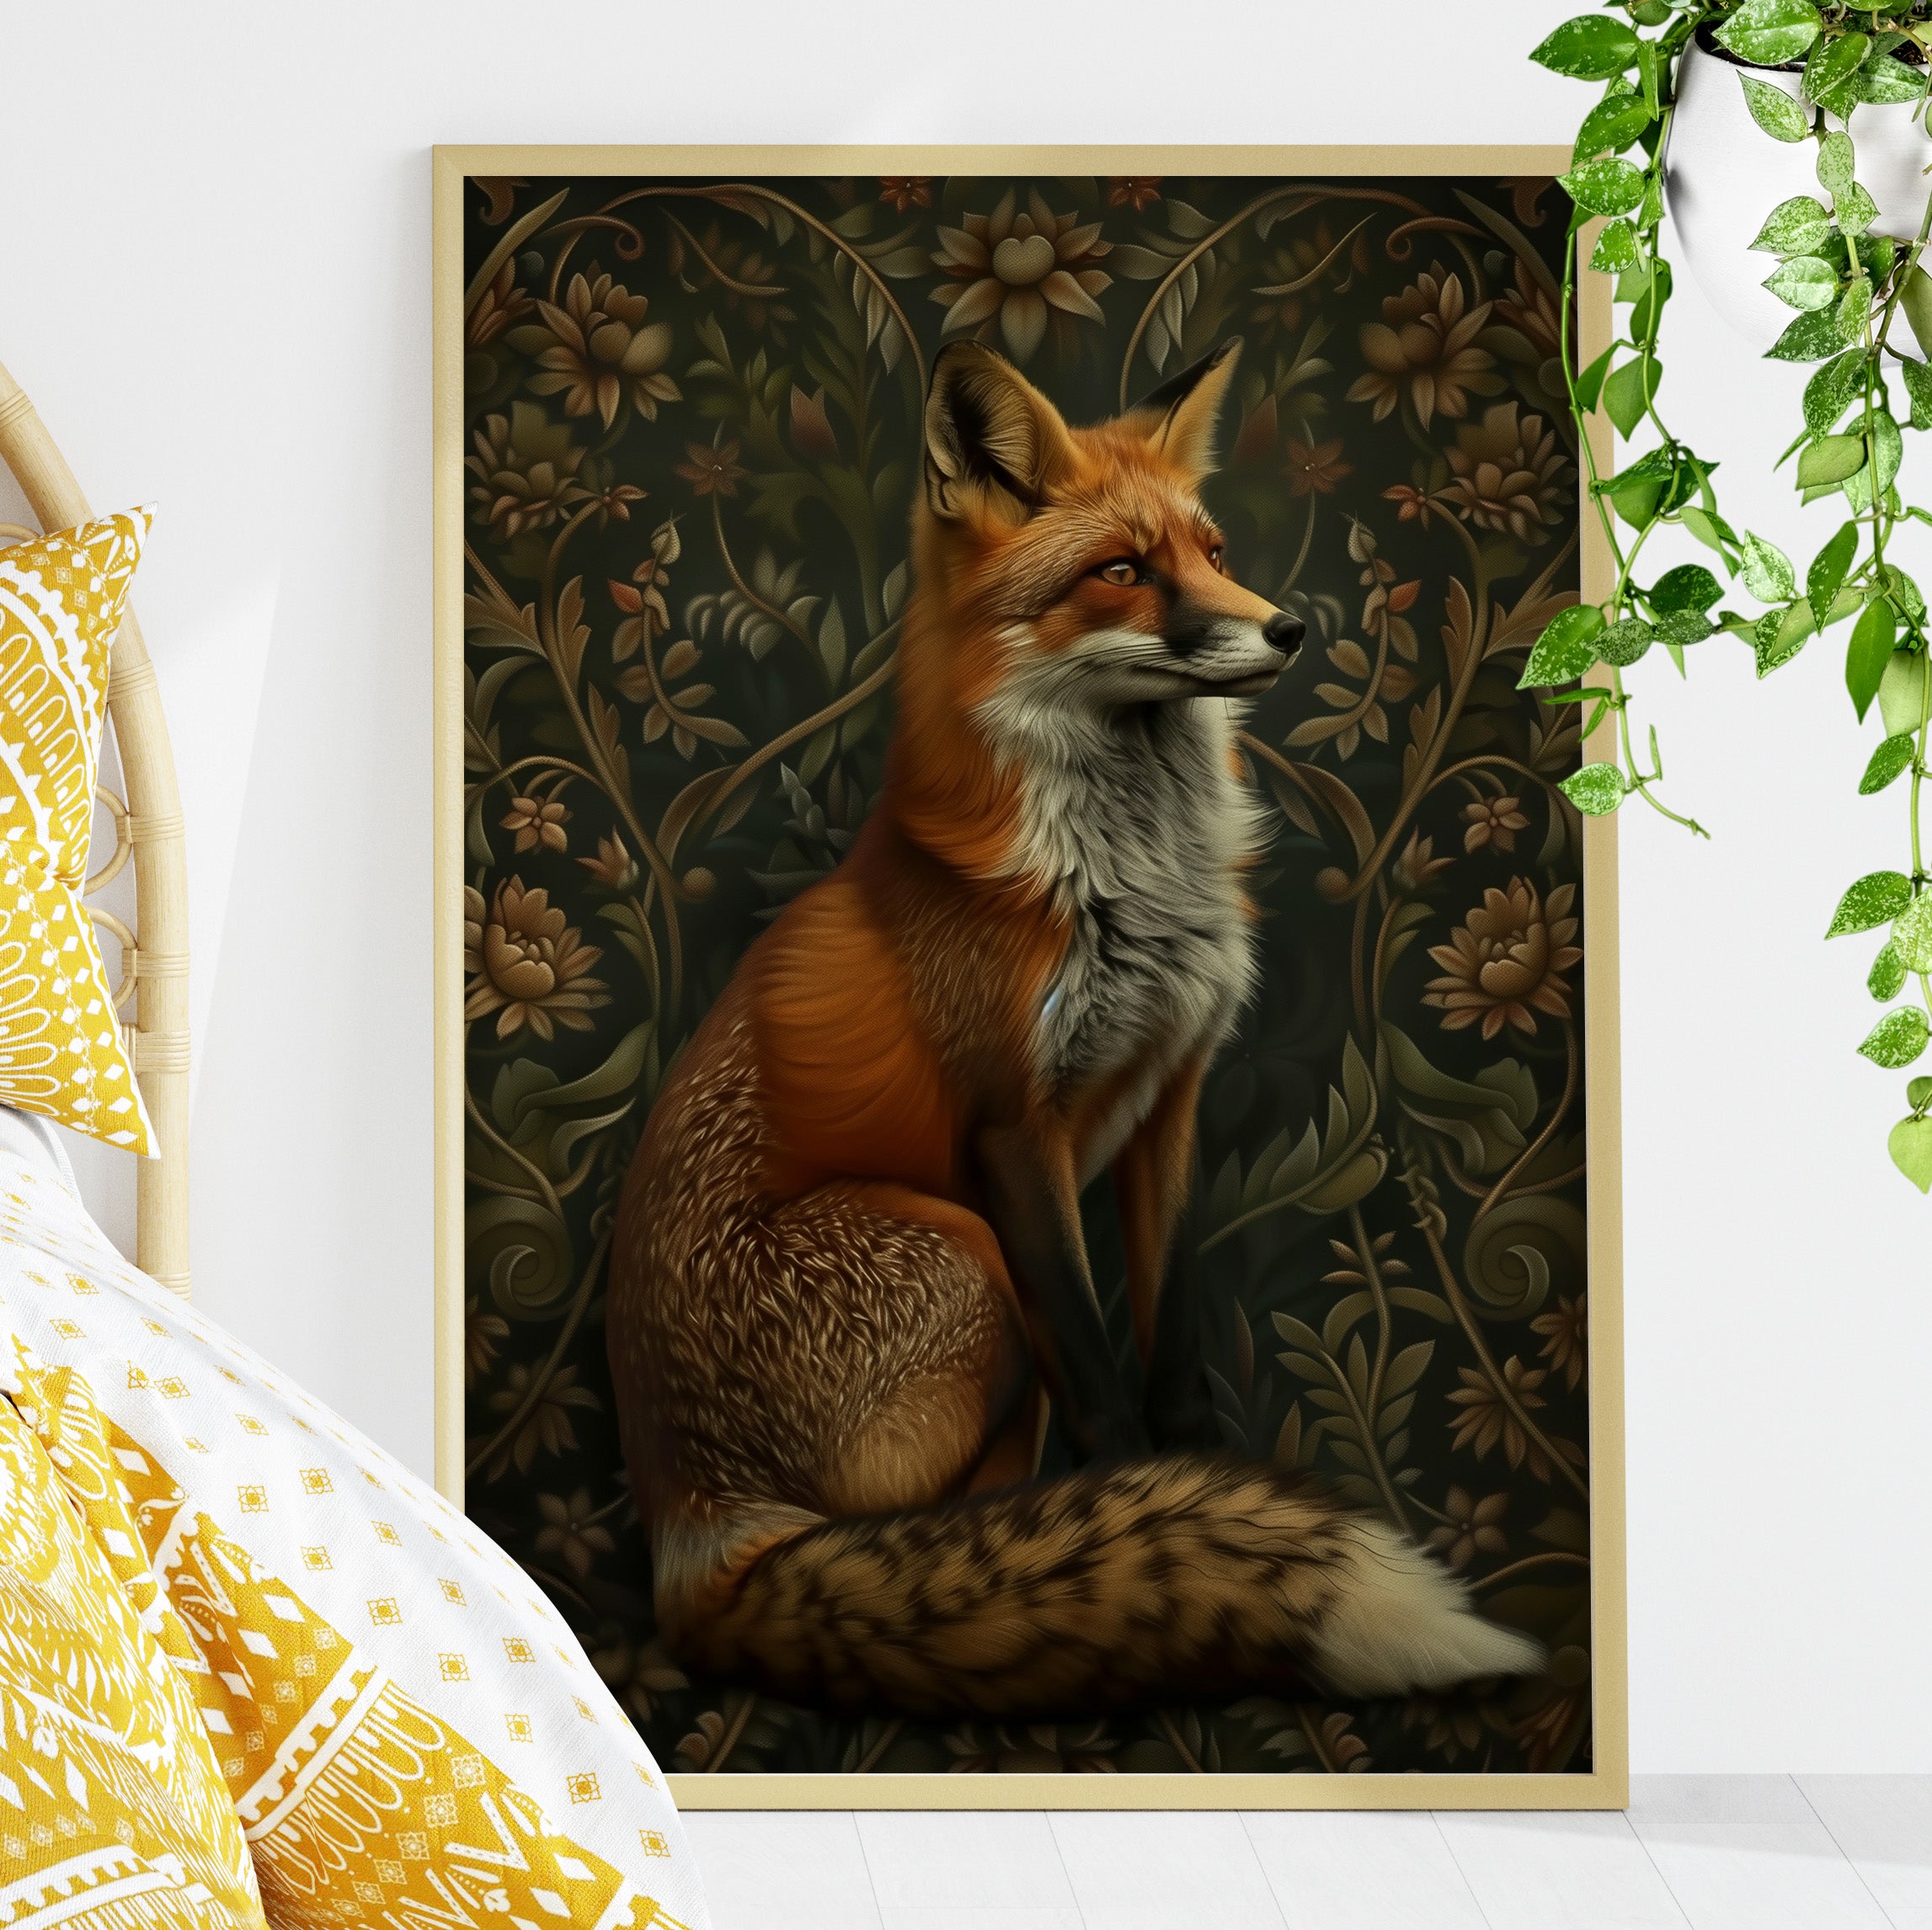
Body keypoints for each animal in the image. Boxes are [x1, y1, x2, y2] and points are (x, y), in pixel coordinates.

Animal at [605, 335, 1545, 1720]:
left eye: (1212, 547)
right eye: (1120, 572)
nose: (1289, 626)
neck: (1126, 885)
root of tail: (693, 1532)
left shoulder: (1172, 1094)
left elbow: (1171, 1330)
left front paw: (1199, 1473)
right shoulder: (1012, 1130)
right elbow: (1100, 1375)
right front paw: (1147, 1498)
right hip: (956, 1249)